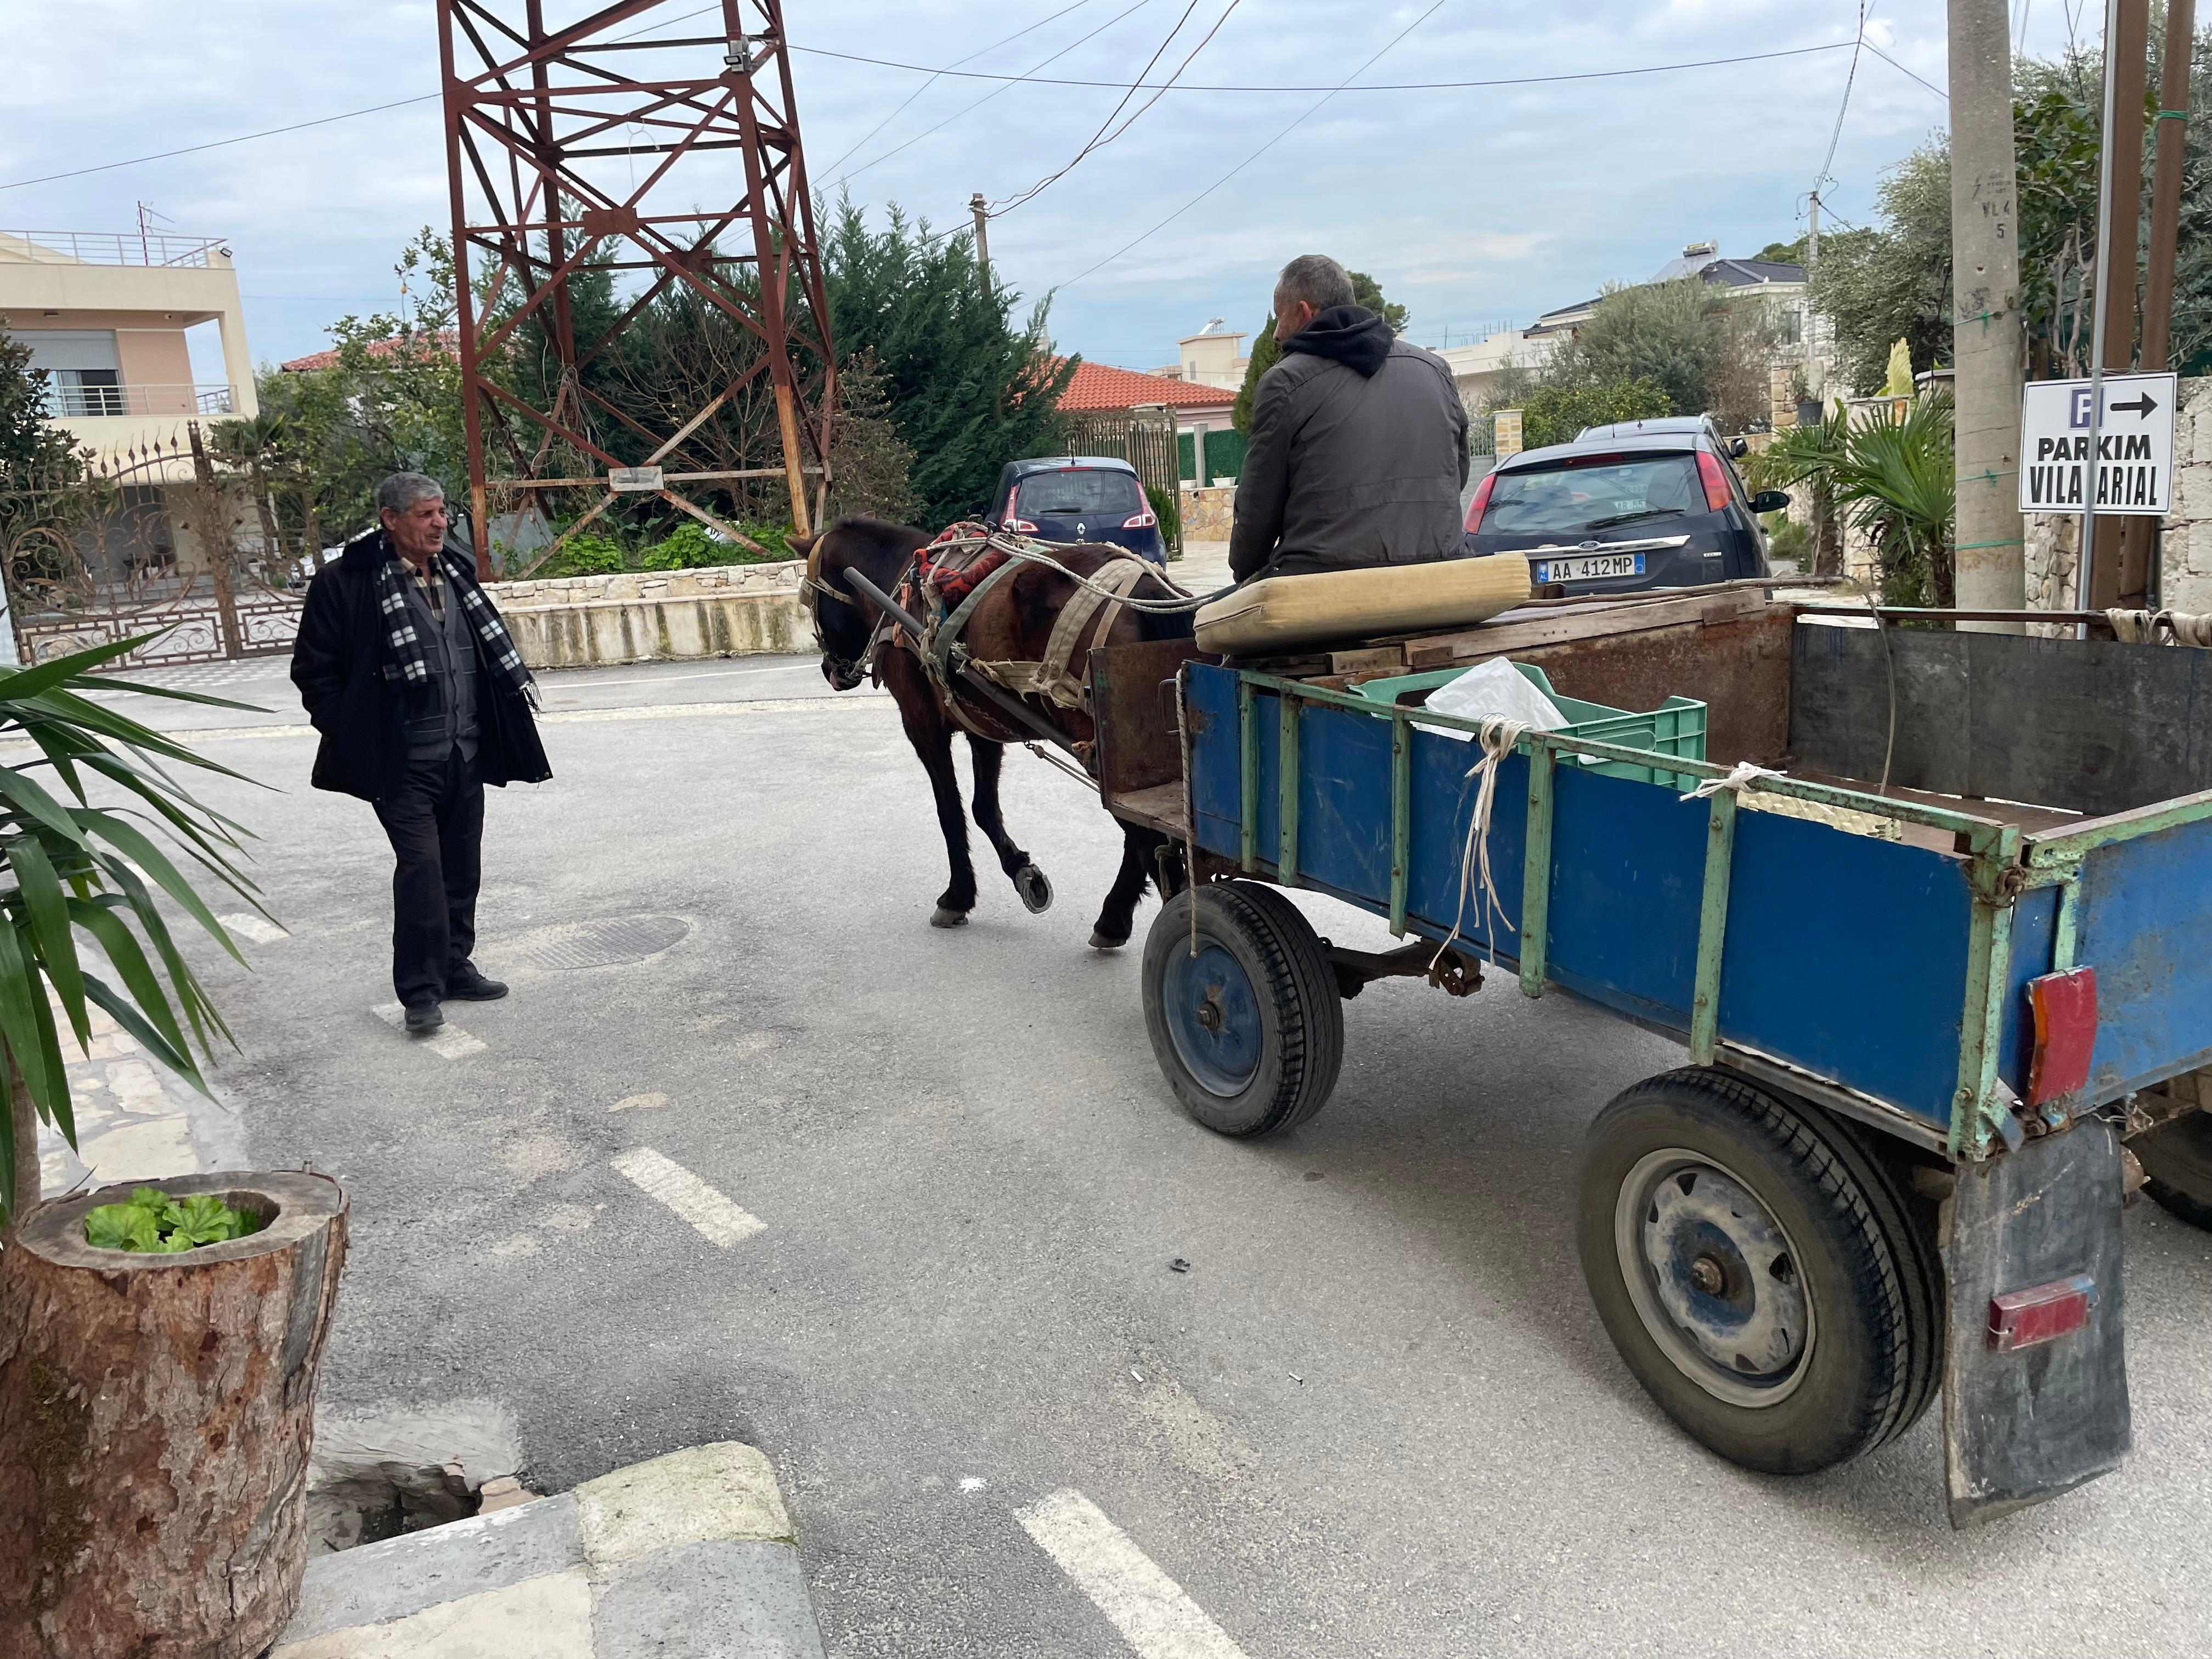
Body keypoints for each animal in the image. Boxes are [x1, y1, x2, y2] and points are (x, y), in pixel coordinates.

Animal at [796, 520, 1203, 955]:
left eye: (811, 601)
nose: (829, 671)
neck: (898, 589)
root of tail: (1148, 591)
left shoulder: (921, 725)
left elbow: (949, 811)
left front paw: (957, 896)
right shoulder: (983, 726)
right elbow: (983, 808)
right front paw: (1024, 873)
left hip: (1099, 747)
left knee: (1147, 837)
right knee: (1147, 837)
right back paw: (1118, 917)